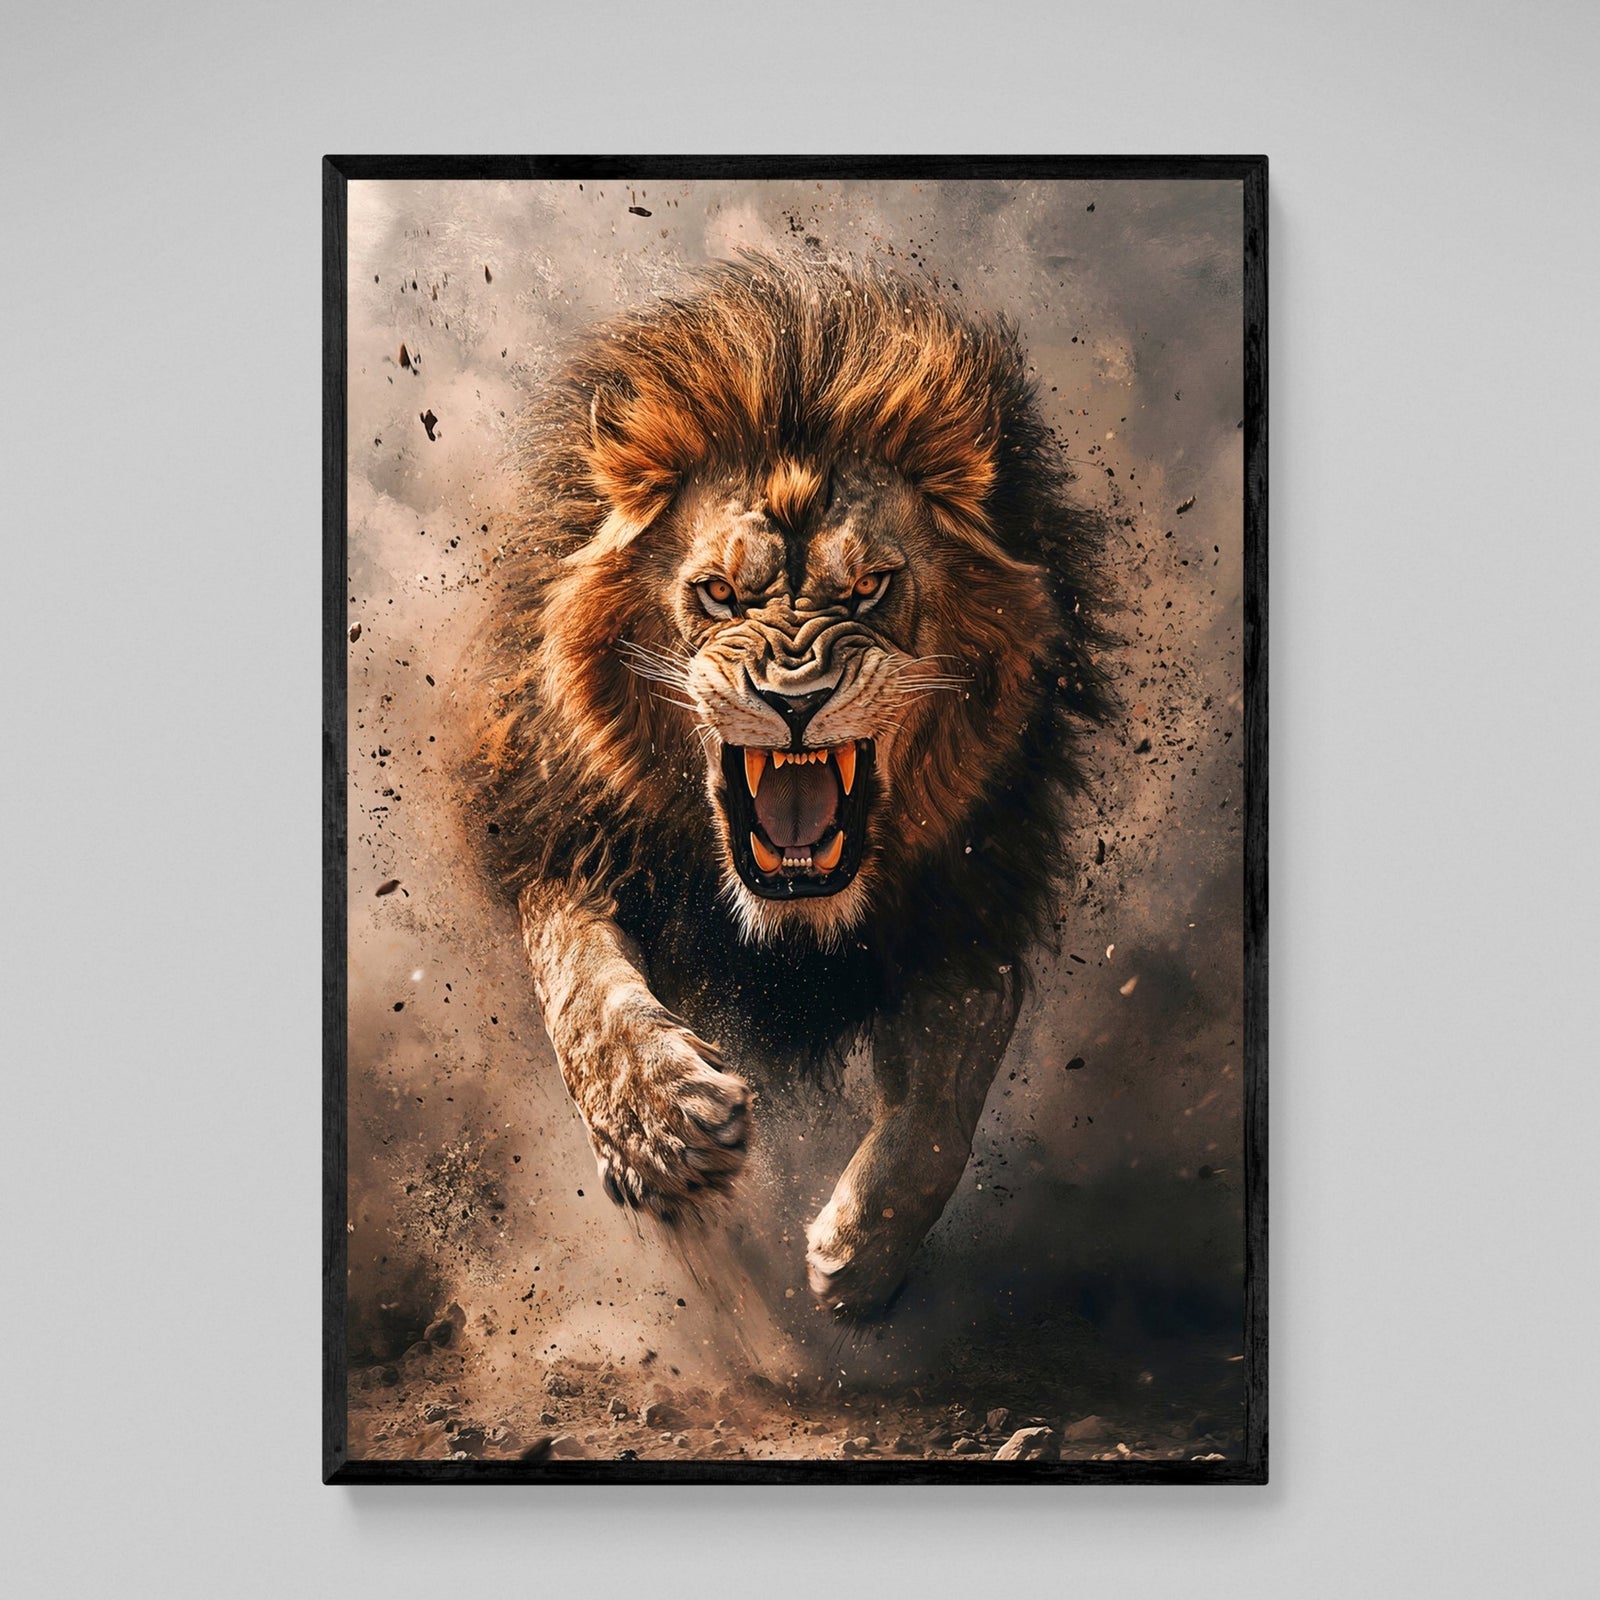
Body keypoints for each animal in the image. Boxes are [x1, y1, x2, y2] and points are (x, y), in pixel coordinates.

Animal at [466, 253, 1110, 1316]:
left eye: (870, 588)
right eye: (720, 592)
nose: (794, 699)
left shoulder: (971, 897)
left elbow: (958, 1067)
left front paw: (861, 1255)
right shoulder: (568, 831)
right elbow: (576, 980)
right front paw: (659, 1130)